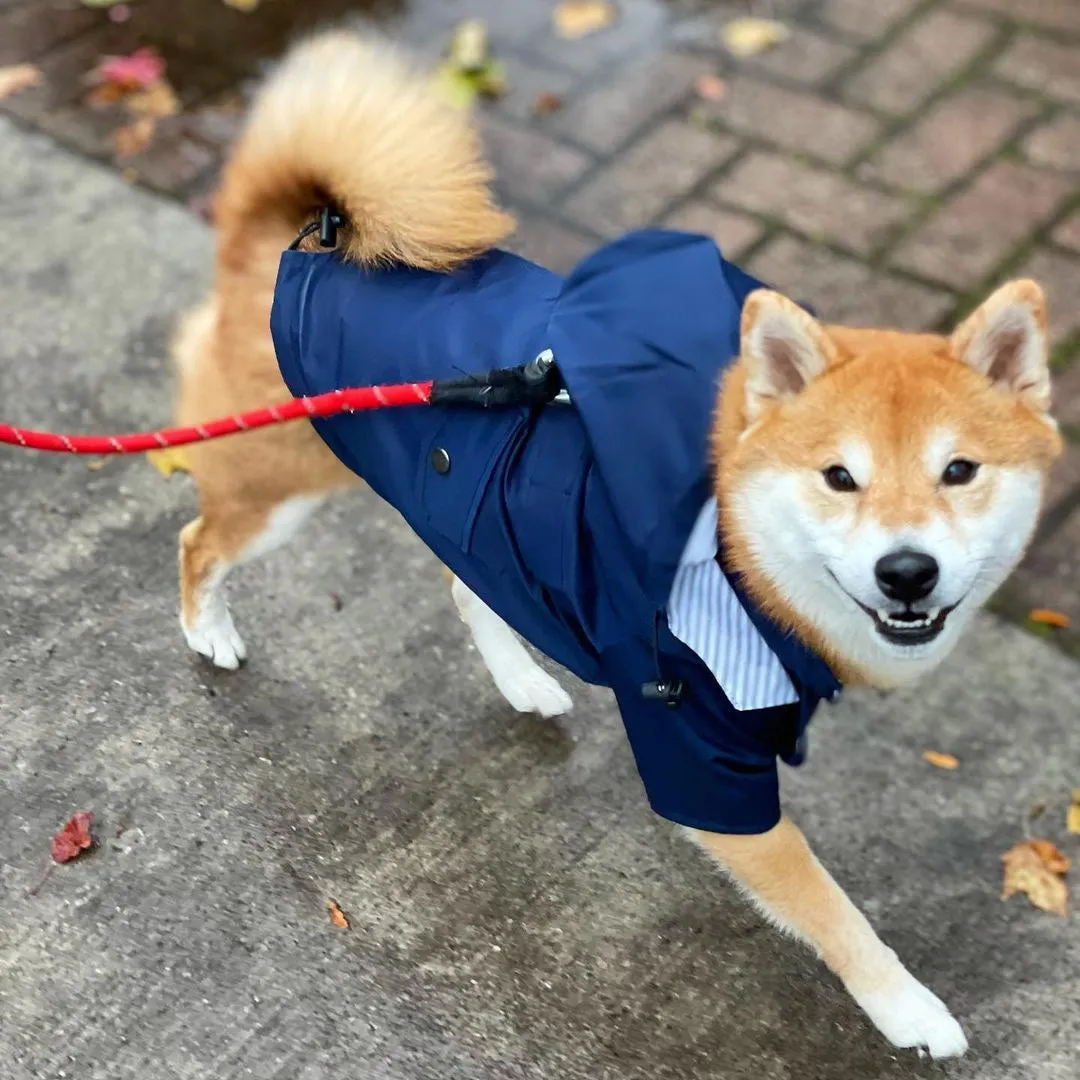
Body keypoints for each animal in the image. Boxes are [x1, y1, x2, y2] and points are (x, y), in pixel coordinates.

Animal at [177, 29, 1062, 1058]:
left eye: (960, 471)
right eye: (838, 478)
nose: (908, 570)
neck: (734, 548)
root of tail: (293, 247)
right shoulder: (702, 756)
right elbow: (833, 910)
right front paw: (908, 1007)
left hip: (470, 514)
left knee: (465, 588)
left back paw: (522, 682)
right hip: (275, 489)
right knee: (197, 541)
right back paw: (208, 632)